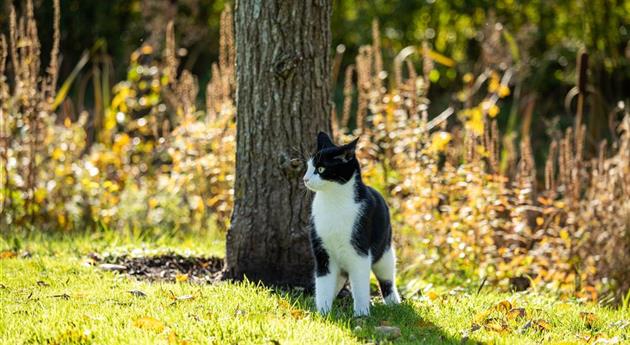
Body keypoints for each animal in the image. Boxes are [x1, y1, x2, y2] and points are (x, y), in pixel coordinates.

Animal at [304, 131, 402, 314]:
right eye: (308, 167)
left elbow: (360, 286)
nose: (305, 179)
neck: (333, 201)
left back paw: (395, 304)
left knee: (387, 278)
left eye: (320, 169)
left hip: (385, 250)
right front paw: (323, 312)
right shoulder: (322, 251)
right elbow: (323, 284)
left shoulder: (360, 251)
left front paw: (361, 314)